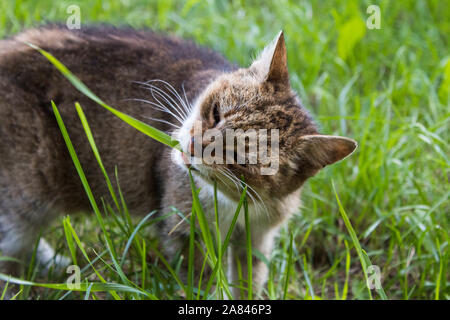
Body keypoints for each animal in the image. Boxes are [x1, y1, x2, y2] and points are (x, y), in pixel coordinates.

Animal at [0, 24, 358, 298]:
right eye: (216, 112)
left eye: (239, 158)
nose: (196, 145)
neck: (236, 205)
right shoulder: (186, 229)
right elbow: (198, 280)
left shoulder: (257, 237)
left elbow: (248, 279)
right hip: (26, 198)